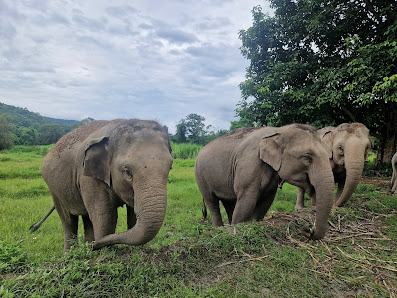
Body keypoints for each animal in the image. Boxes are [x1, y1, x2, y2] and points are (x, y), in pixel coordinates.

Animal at [38, 118, 172, 251]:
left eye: (170, 167)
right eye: (127, 171)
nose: (93, 245)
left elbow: (133, 215)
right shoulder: (87, 177)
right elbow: (106, 216)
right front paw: (104, 252)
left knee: (87, 218)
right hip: (54, 189)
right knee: (68, 220)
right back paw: (71, 253)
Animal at [193, 123, 332, 240]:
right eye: (307, 157)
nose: (308, 228)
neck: (279, 130)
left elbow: (266, 202)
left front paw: (253, 225)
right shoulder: (249, 165)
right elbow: (246, 202)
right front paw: (238, 229)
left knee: (229, 203)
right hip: (200, 176)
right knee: (212, 202)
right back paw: (219, 229)